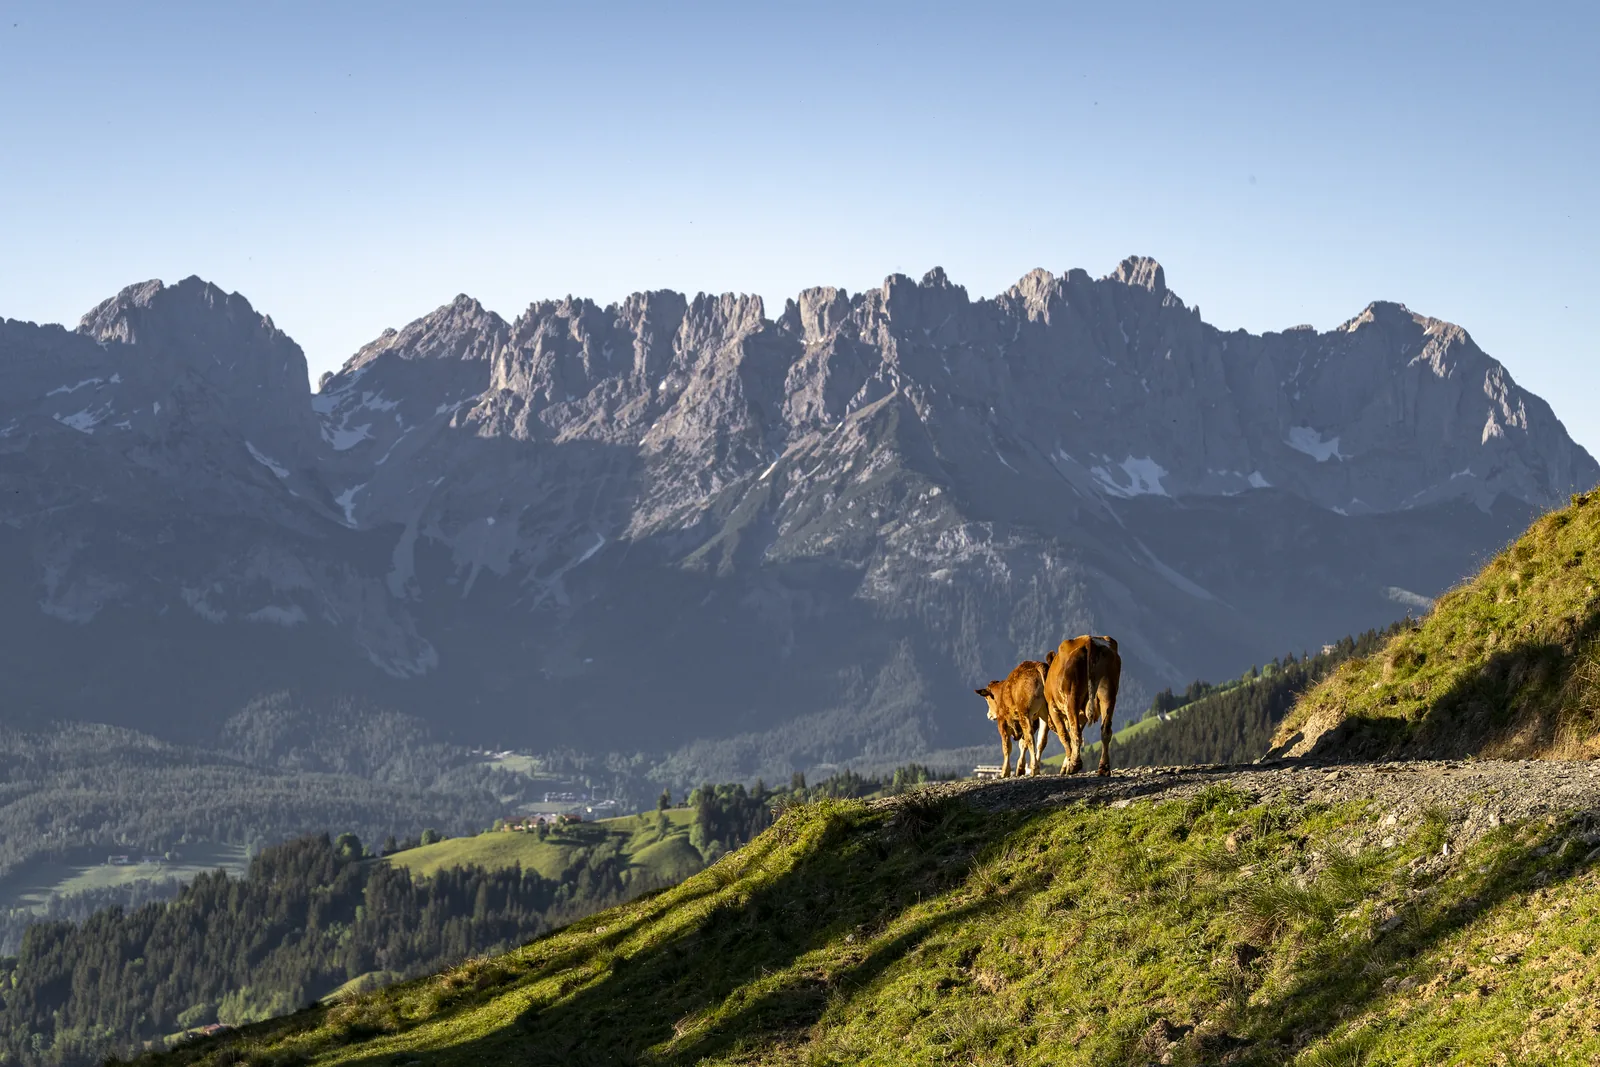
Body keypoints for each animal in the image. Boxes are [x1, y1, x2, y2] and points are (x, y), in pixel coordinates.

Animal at [1040, 635, 1122, 776]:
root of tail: (1089, 640)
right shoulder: (1082, 714)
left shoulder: (1053, 707)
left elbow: (1064, 735)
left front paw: (1068, 763)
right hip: (1108, 692)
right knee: (1105, 730)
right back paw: (1103, 768)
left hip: (1072, 697)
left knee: (1075, 732)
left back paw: (1075, 765)